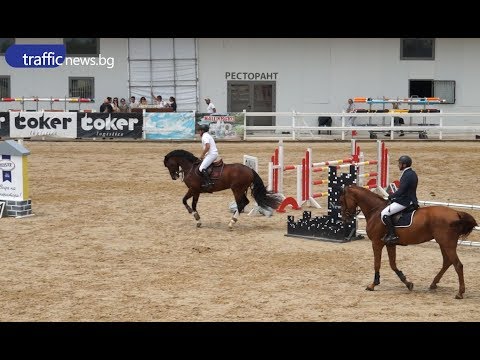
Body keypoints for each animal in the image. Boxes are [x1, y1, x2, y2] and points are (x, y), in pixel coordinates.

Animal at [340, 184, 478, 300]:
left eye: (341, 200)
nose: (344, 218)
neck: (376, 211)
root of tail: (456, 213)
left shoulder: (376, 243)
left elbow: (377, 264)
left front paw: (373, 285)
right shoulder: (390, 244)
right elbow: (393, 265)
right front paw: (408, 283)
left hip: (447, 244)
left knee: (458, 265)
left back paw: (460, 293)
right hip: (443, 244)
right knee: (447, 262)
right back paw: (433, 284)